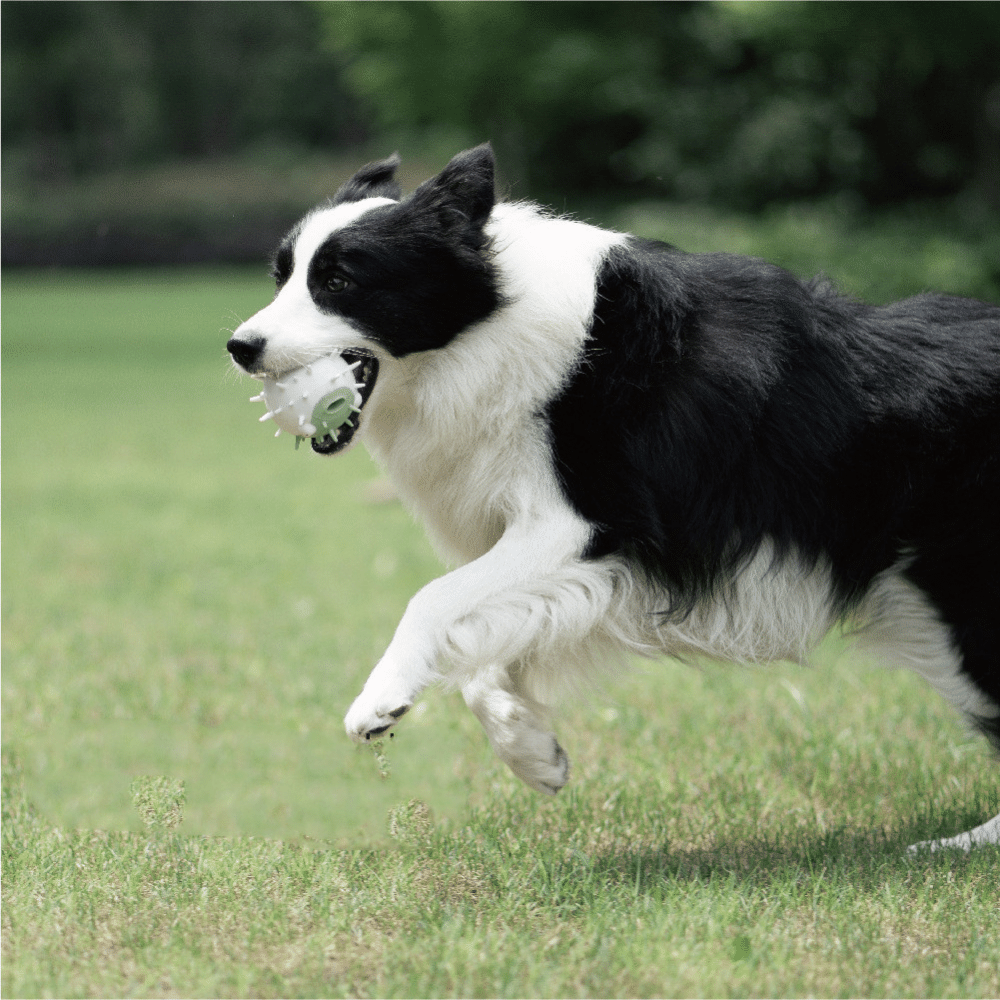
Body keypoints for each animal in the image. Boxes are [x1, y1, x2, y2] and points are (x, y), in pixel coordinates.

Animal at [229, 145, 1000, 848]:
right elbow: (480, 646)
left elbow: (434, 599)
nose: (239, 346)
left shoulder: (583, 524)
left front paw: (380, 702)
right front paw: (533, 753)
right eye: (282, 276)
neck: (491, 329)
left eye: (338, 280)